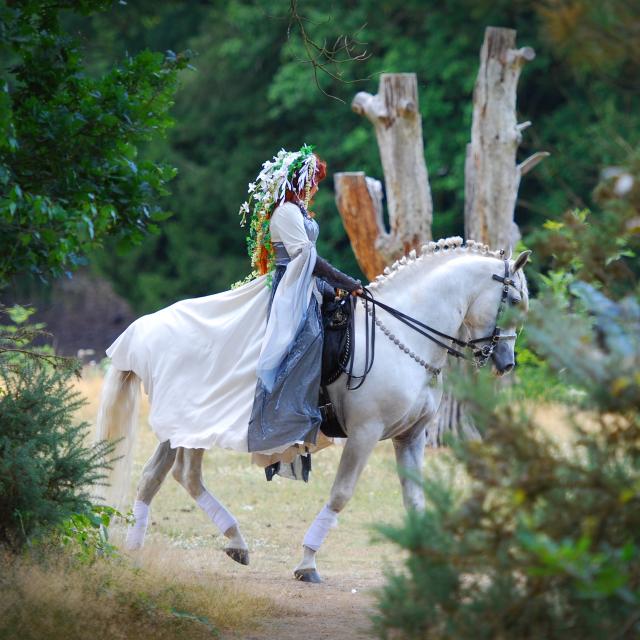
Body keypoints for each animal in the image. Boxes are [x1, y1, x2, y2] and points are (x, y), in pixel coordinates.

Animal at [95, 238, 528, 584]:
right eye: (513, 301)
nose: (506, 362)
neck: (405, 336)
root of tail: (145, 331)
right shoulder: (365, 433)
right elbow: (340, 495)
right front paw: (307, 564)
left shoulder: (410, 436)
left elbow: (415, 499)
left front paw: (428, 565)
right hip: (192, 423)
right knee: (181, 474)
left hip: (183, 426)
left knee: (160, 476)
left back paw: (154, 548)